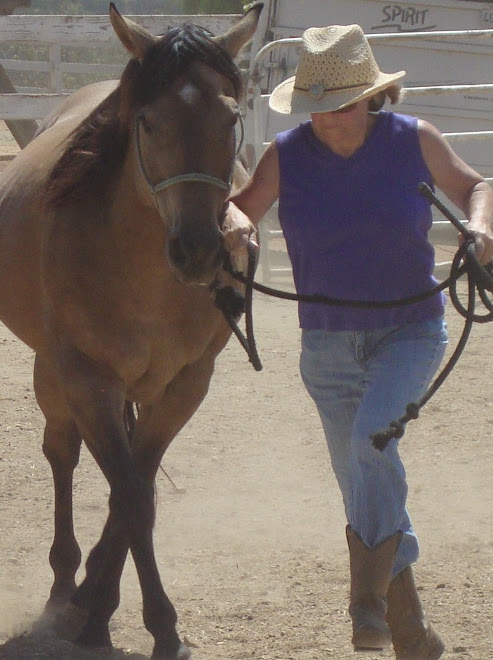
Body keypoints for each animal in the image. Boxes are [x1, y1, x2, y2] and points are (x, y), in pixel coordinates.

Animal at [0, 5, 262, 660]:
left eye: (232, 117)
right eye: (146, 120)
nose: (198, 251)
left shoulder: (185, 385)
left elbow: (135, 491)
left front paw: (107, 609)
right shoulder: (91, 381)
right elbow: (132, 498)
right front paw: (154, 623)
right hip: (54, 376)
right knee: (62, 455)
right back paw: (65, 581)